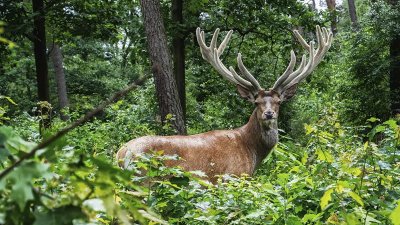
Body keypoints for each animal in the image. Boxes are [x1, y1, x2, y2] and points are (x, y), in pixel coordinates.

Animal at [116, 25, 334, 183]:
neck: (251, 151)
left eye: (278, 101)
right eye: (256, 102)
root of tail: (120, 155)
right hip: (144, 180)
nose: (269, 114)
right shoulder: (233, 177)